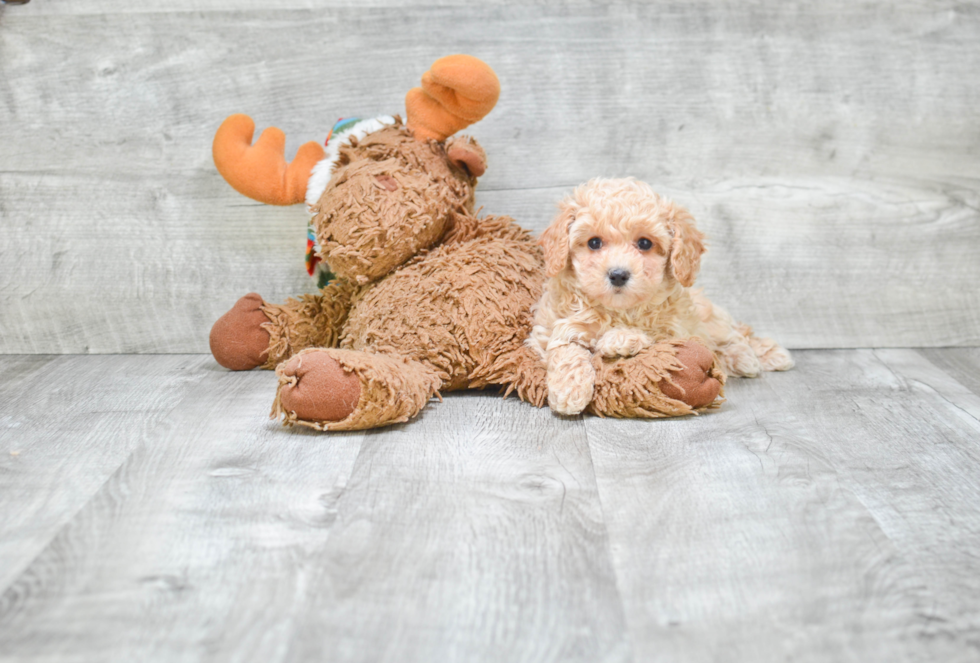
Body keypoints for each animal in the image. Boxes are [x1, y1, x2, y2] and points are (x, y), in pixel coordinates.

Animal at [528, 176, 796, 416]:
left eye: (645, 243)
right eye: (594, 242)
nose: (618, 274)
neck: (618, 310)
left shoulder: (676, 329)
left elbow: (654, 334)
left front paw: (620, 338)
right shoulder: (549, 329)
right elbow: (565, 346)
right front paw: (569, 391)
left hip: (711, 321)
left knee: (736, 335)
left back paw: (756, 356)